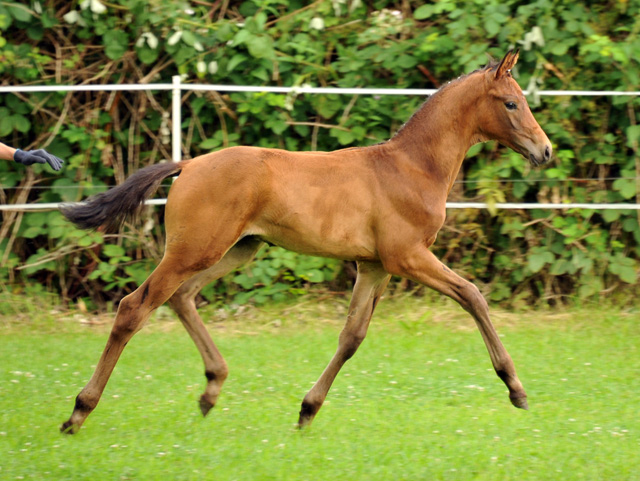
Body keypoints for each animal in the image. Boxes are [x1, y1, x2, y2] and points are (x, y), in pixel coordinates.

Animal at [60, 50, 552, 434]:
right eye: (512, 103)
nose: (545, 151)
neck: (412, 167)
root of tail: (190, 164)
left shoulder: (374, 266)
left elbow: (352, 337)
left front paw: (307, 410)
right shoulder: (407, 256)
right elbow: (472, 296)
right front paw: (516, 389)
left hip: (236, 249)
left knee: (182, 297)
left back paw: (211, 389)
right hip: (193, 250)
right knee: (135, 307)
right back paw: (79, 412)